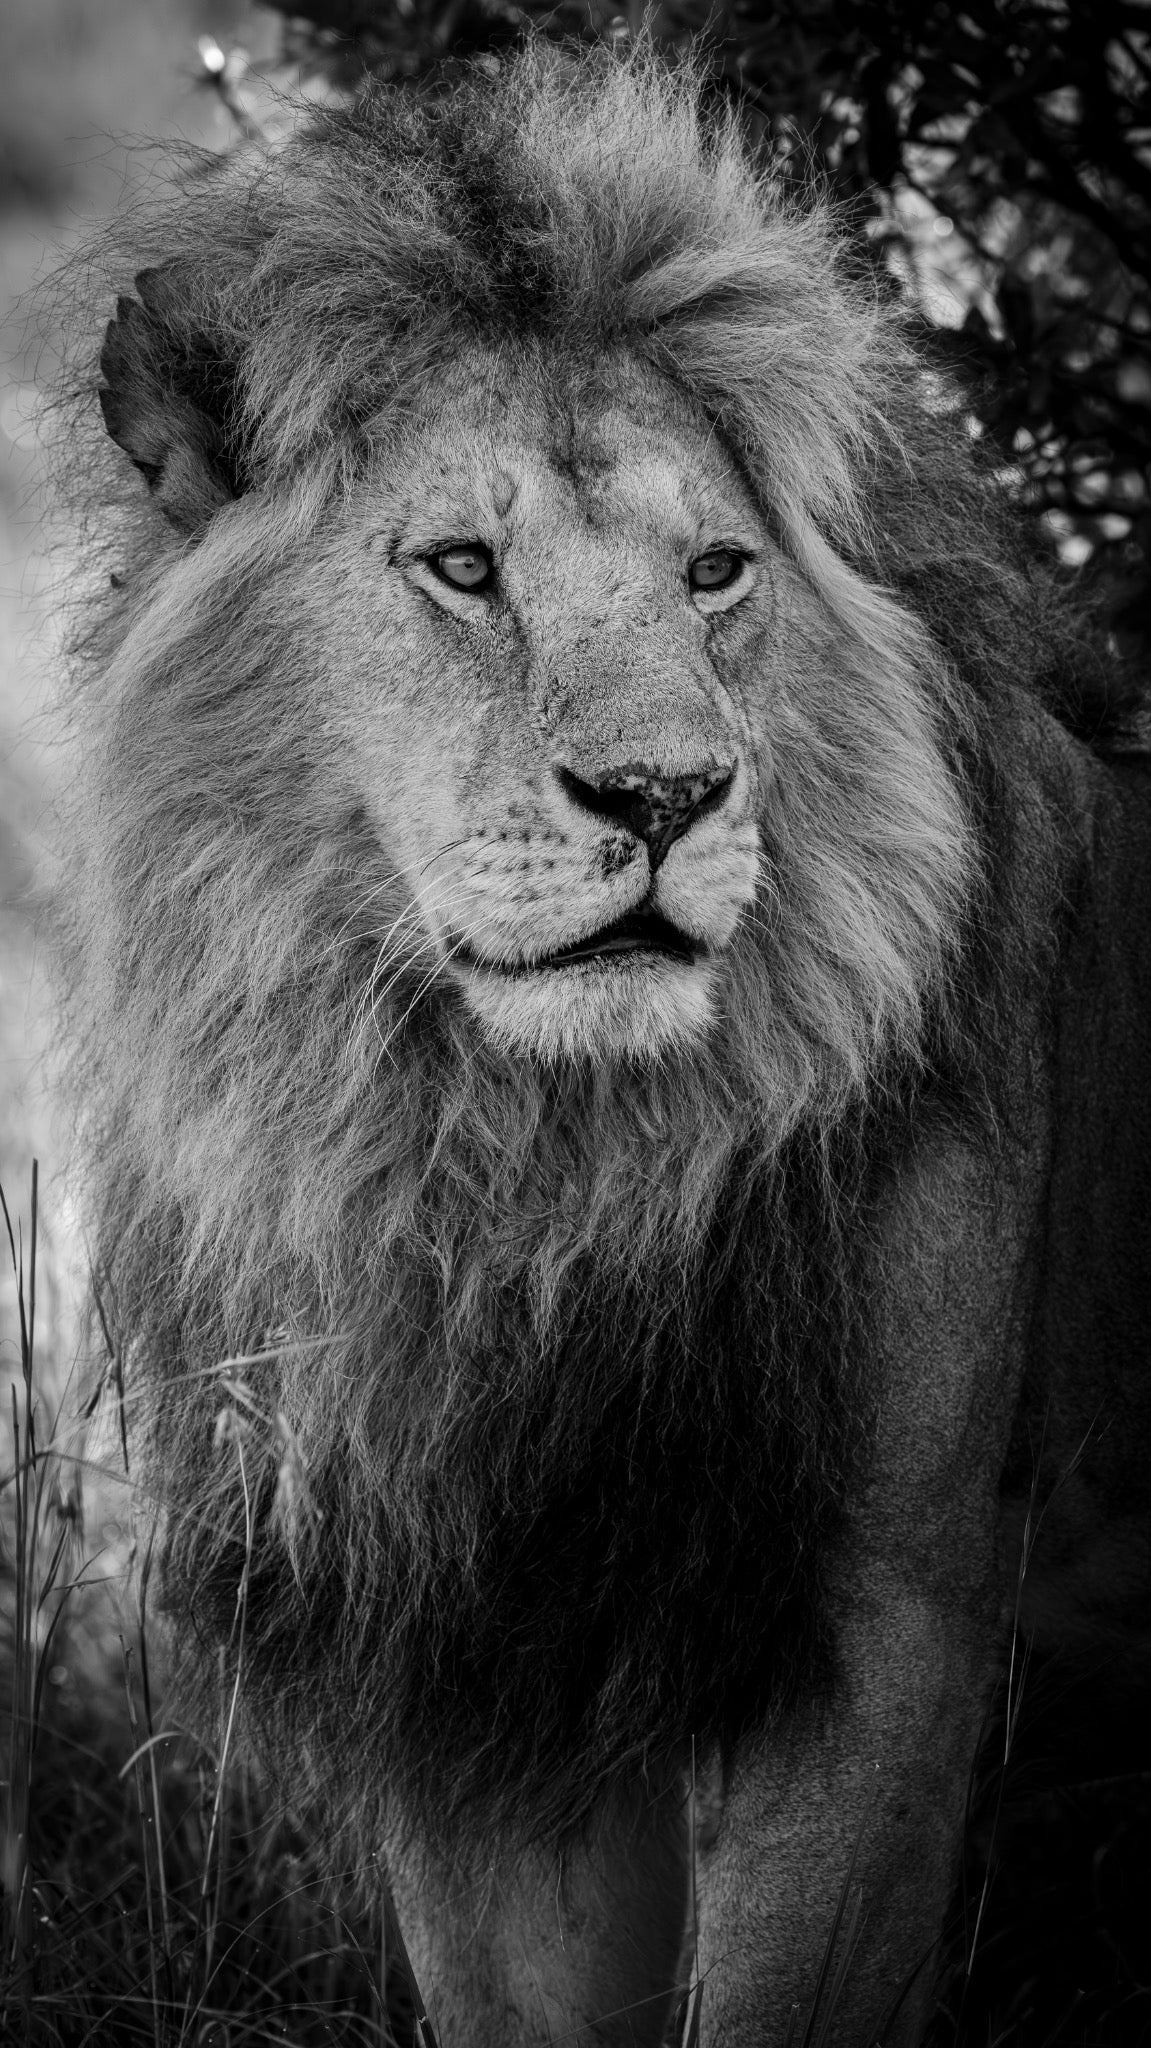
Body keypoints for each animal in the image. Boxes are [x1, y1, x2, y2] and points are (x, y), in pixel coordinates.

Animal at [57, 41, 1151, 2048]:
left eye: (715, 570)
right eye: (460, 567)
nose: (661, 795)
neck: (525, 1169)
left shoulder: (877, 1623)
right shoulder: (477, 1640)